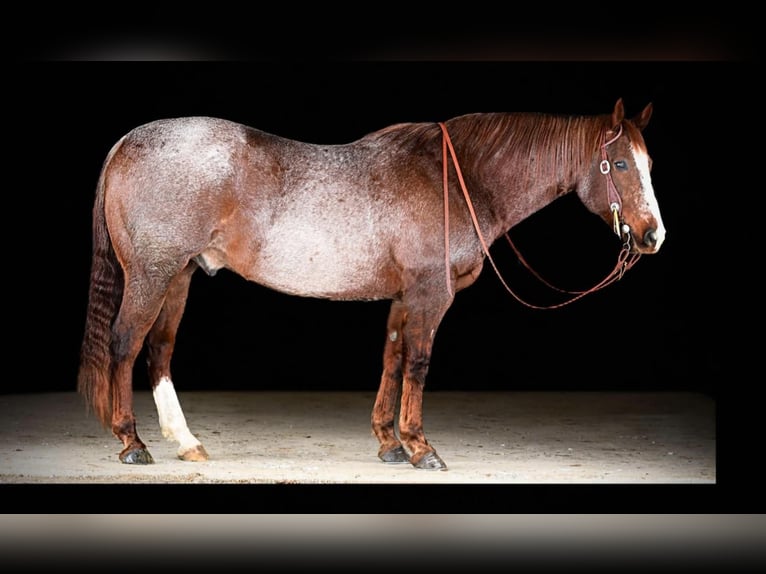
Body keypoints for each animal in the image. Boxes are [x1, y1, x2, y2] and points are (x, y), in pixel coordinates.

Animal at [76, 99, 664, 472]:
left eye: (649, 163)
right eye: (617, 163)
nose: (653, 234)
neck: (459, 180)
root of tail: (128, 141)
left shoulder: (404, 299)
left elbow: (393, 360)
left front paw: (390, 443)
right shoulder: (430, 295)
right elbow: (419, 364)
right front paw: (422, 448)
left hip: (179, 275)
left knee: (159, 350)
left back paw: (186, 442)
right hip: (152, 274)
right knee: (124, 344)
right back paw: (131, 442)